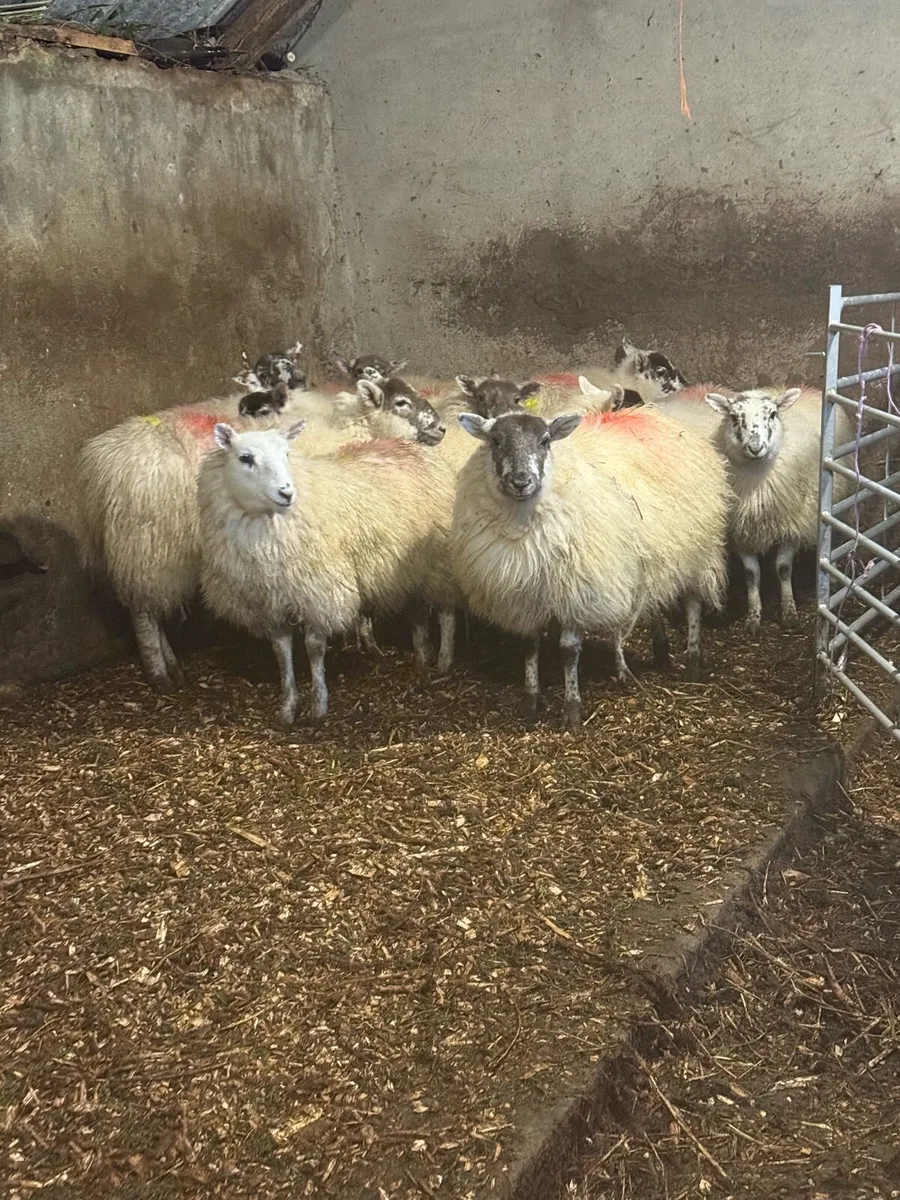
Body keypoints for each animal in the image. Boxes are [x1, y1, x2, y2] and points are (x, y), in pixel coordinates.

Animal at [198, 424, 459, 724]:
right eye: (245, 458)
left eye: (287, 453)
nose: (286, 492)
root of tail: (414, 446)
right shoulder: (271, 603)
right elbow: (281, 653)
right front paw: (288, 707)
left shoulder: (319, 593)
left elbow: (314, 648)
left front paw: (319, 706)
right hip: (409, 570)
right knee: (416, 612)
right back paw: (422, 656)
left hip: (438, 562)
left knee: (446, 611)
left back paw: (444, 660)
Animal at [450, 406, 729, 727]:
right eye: (495, 440)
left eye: (545, 441)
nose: (521, 481)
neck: (520, 526)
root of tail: (655, 415)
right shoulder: (525, 597)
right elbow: (529, 647)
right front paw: (530, 702)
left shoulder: (577, 590)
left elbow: (569, 652)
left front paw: (572, 710)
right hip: (652, 556)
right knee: (652, 602)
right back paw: (661, 653)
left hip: (698, 551)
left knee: (694, 604)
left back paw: (692, 663)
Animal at [703, 386, 854, 630]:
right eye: (734, 417)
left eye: (773, 414)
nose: (755, 447)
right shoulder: (741, 531)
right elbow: (751, 574)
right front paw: (753, 616)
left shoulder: (790, 526)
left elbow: (783, 569)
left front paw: (789, 611)